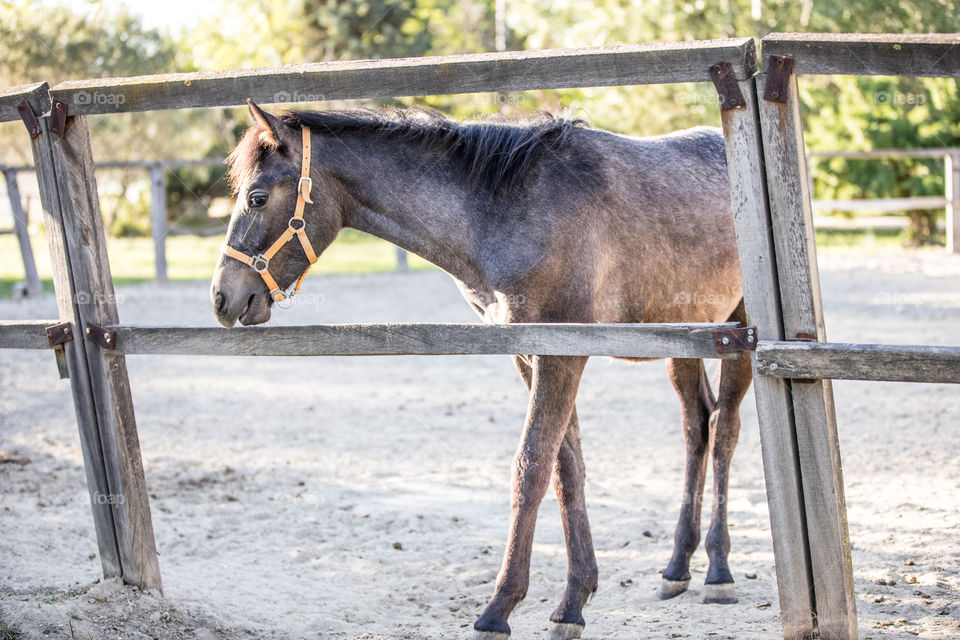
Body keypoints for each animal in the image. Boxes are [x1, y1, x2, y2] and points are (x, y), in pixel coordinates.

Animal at [208, 100, 752, 640]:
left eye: (257, 198)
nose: (221, 297)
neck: (508, 209)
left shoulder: (563, 356)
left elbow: (531, 468)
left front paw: (500, 608)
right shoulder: (528, 355)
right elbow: (566, 469)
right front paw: (574, 600)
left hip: (738, 334)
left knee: (725, 430)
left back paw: (719, 570)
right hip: (684, 342)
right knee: (697, 426)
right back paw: (678, 566)